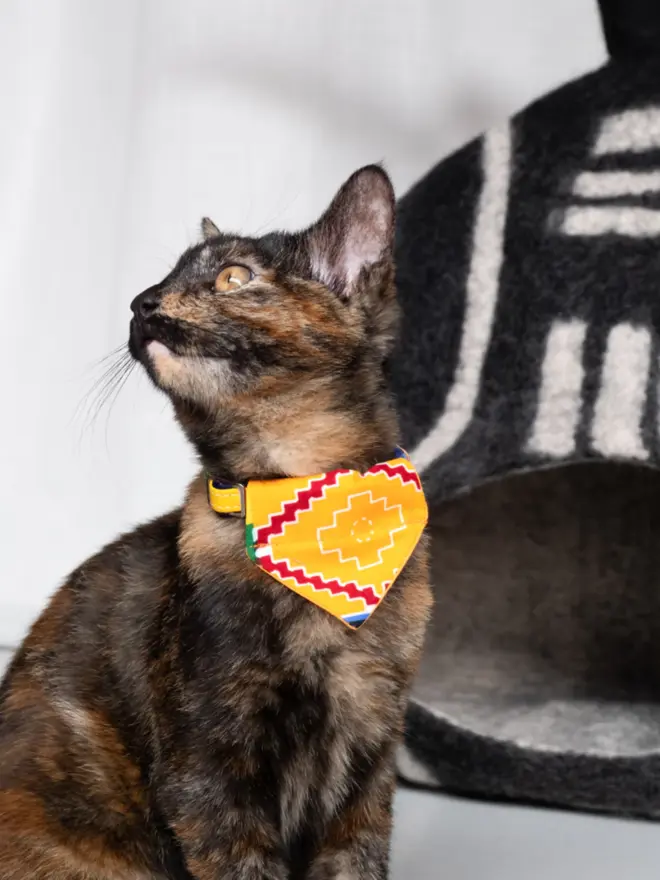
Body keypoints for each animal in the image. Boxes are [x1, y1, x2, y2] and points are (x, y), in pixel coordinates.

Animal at [0, 167, 434, 880]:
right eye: (166, 276)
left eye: (234, 277)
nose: (142, 303)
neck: (284, 493)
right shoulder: (209, 766)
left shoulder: (370, 758)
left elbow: (356, 864)